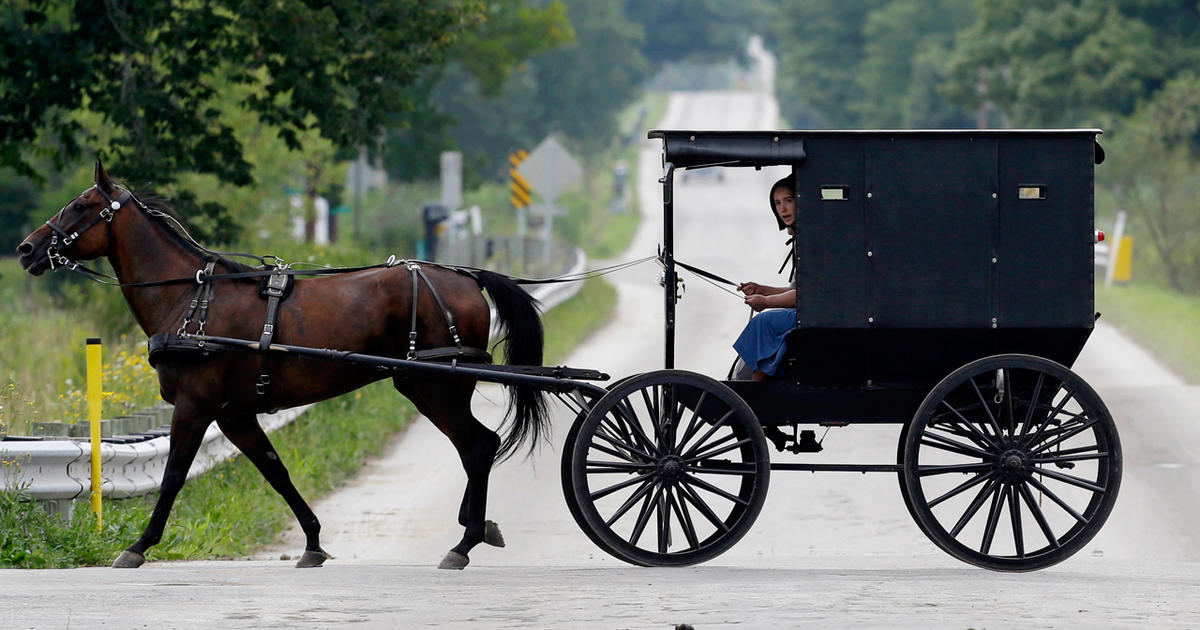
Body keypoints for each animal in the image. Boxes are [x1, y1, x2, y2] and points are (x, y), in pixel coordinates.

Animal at [16, 159, 549, 566]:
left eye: (81, 206)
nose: (27, 248)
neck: (193, 299)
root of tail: (464, 276)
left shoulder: (195, 405)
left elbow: (172, 476)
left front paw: (139, 545)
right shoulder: (234, 414)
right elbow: (277, 472)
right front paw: (312, 541)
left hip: (435, 387)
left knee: (478, 446)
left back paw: (465, 541)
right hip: (427, 387)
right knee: (477, 447)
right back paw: (475, 527)